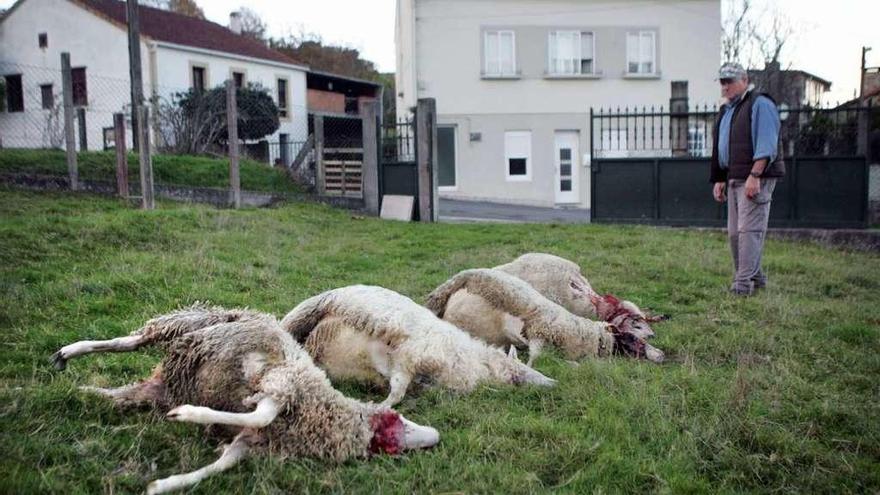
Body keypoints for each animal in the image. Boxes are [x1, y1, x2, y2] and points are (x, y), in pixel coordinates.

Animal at [48, 306, 440, 495]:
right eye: (396, 423)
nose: (435, 437)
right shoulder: (277, 383)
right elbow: (259, 414)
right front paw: (187, 415)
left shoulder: (251, 443)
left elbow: (223, 463)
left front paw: (164, 485)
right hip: (194, 322)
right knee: (130, 341)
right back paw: (68, 352)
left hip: (155, 384)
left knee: (122, 392)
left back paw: (84, 393)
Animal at [278, 284, 552, 408]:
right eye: (522, 370)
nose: (554, 384)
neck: (477, 362)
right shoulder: (409, 356)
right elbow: (397, 391)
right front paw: (380, 408)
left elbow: (400, 387)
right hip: (307, 311)